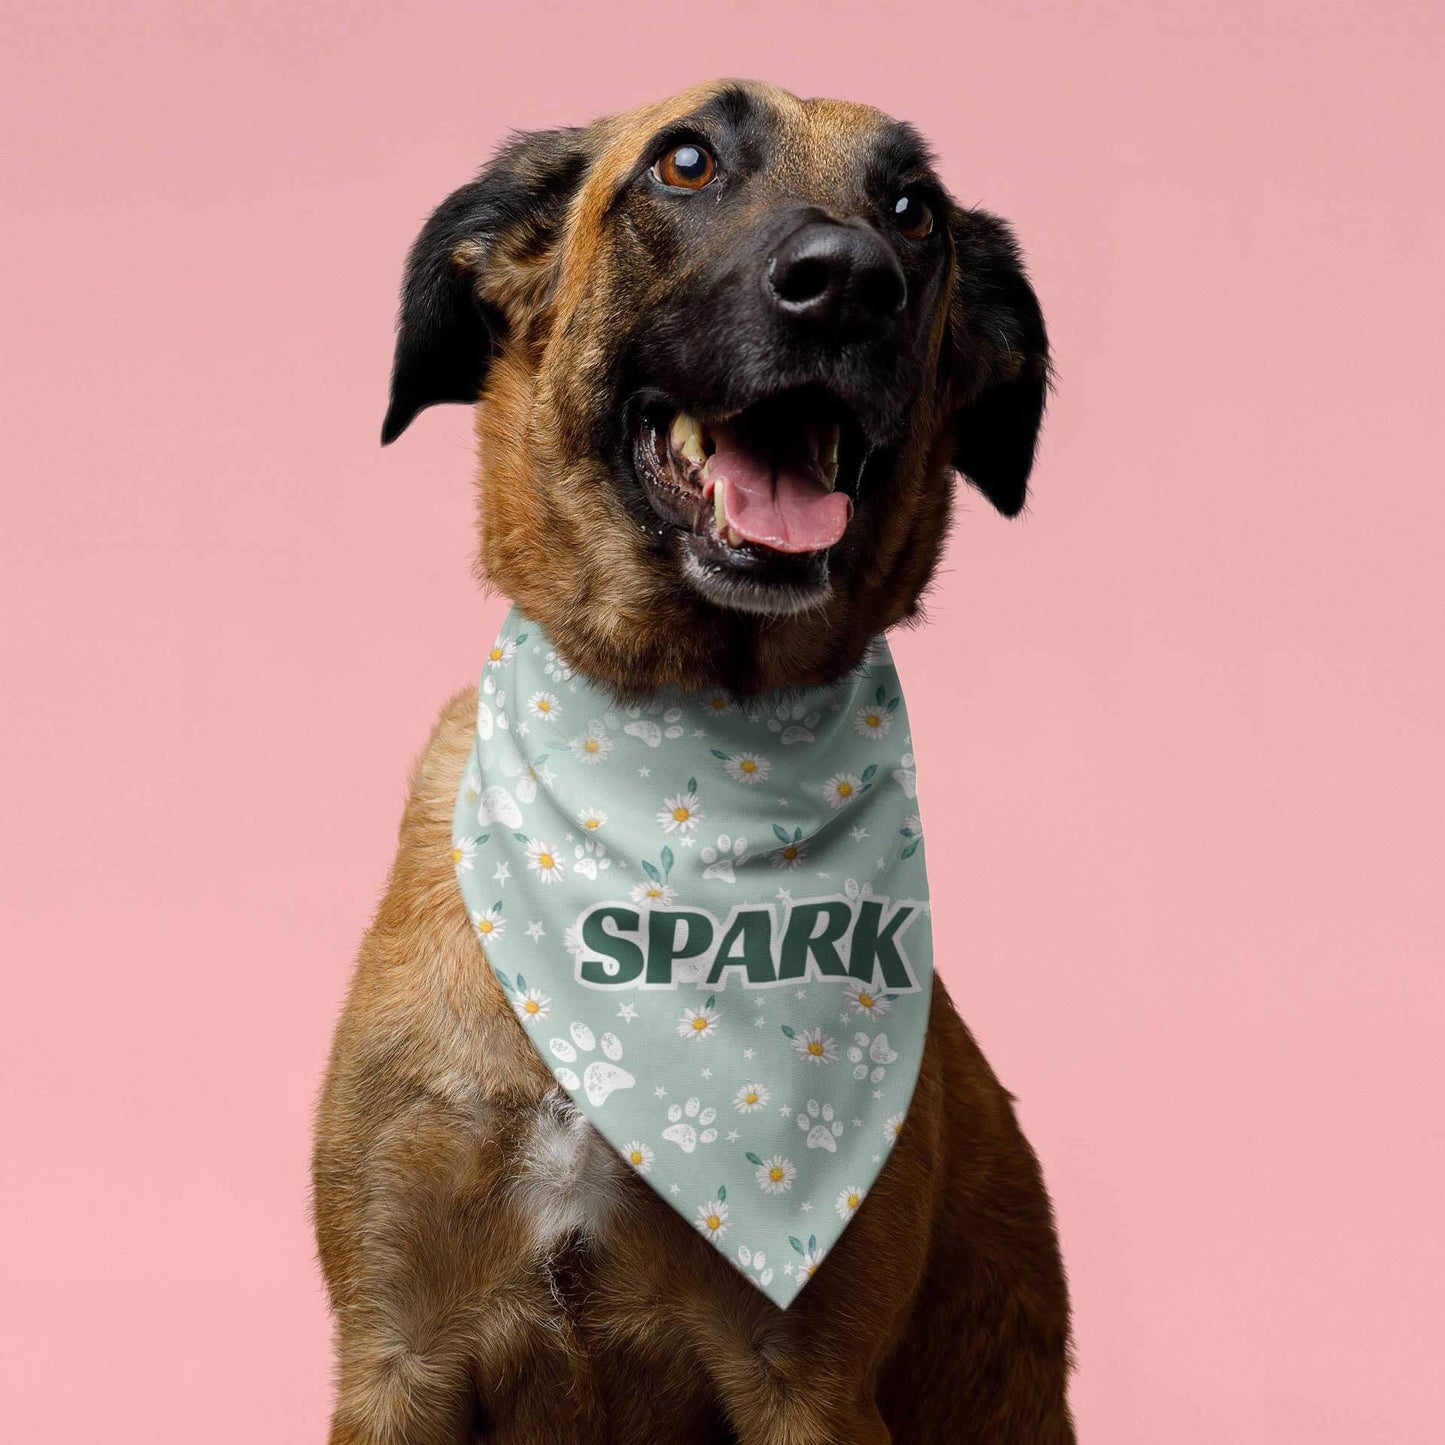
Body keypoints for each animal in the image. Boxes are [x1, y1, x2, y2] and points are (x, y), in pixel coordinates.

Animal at [316, 79, 1075, 1445]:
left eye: (912, 210)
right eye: (685, 162)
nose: (850, 282)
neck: (677, 754)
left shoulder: (807, 1381)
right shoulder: (394, 1352)